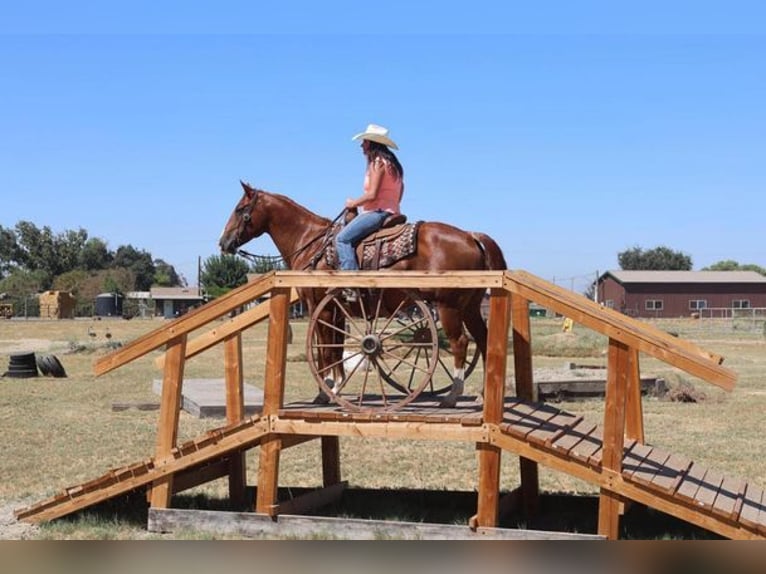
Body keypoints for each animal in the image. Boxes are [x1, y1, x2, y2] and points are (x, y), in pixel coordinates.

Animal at [219, 181, 507, 407]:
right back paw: (483, 395)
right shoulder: (336, 311)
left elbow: (324, 349)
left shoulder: (321, 307)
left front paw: (329, 390)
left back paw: (451, 397)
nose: (223, 243)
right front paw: (333, 386)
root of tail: (470, 235)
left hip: (448, 305)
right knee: (483, 340)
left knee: (461, 342)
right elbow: (334, 348)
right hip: (469, 307)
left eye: (240, 210)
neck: (312, 243)